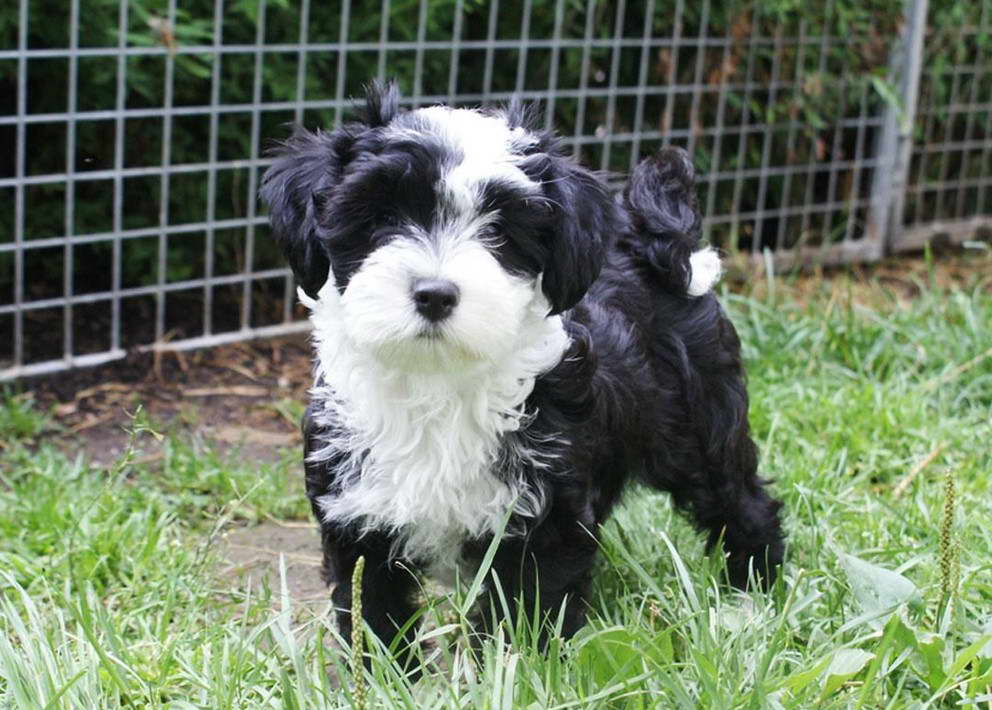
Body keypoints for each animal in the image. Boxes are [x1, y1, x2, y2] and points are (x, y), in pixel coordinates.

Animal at [260, 82, 788, 660]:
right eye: (380, 219)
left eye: (500, 232)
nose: (435, 294)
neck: (437, 383)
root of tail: (655, 248)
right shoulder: (357, 515)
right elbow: (373, 613)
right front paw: (380, 674)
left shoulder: (543, 517)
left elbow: (531, 612)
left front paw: (522, 666)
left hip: (697, 423)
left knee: (739, 500)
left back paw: (752, 600)